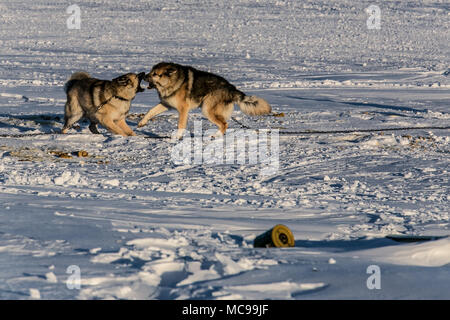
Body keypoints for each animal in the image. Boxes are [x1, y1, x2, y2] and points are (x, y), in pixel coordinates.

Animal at [138, 62, 270, 138]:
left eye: (155, 74)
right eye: (151, 72)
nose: (143, 75)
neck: (173, 81)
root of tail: (231, 88)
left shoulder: (183, 109)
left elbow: (180, 124)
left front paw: (177, 137)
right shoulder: (166, 104)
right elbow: (150, 111)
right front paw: (142, 122)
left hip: (207, 110)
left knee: (224, 124)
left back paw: (215, 135)